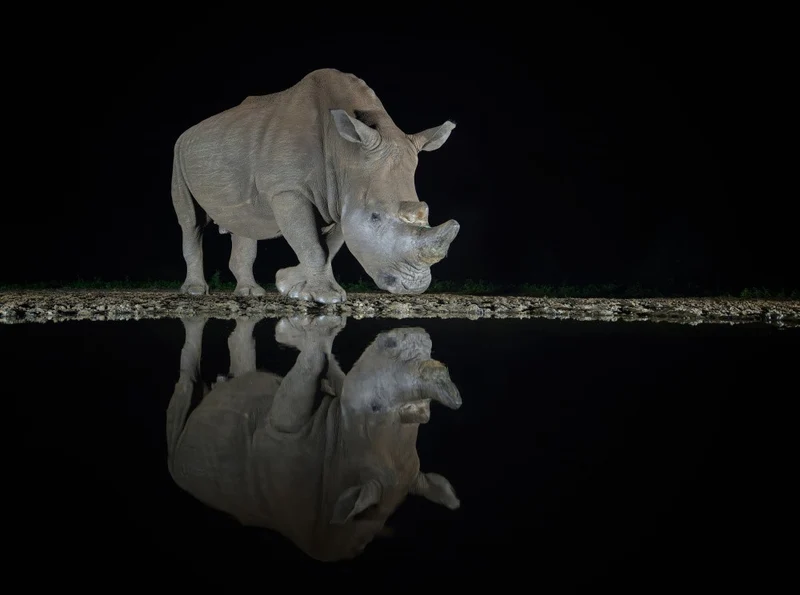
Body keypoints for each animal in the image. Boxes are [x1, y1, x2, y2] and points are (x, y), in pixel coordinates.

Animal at [166, 314, 463, 561]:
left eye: (375, 407)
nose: (410, 335)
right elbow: (335, 374)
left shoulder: (284, 435)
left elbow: (305, 378)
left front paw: (308, 331)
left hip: (185, 464)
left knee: (184, 397)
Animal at [171, 68, 460, 303]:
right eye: (375, 217)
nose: (414, 286)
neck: (347, 152)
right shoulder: (288, 190)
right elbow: (312, 244)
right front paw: (326, 298)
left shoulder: (343, 195)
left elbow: (327, 246)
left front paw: (289, 285)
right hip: (179, 153)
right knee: (190, 223)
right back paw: (195, 292)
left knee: (244, 222)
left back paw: (251, 293)